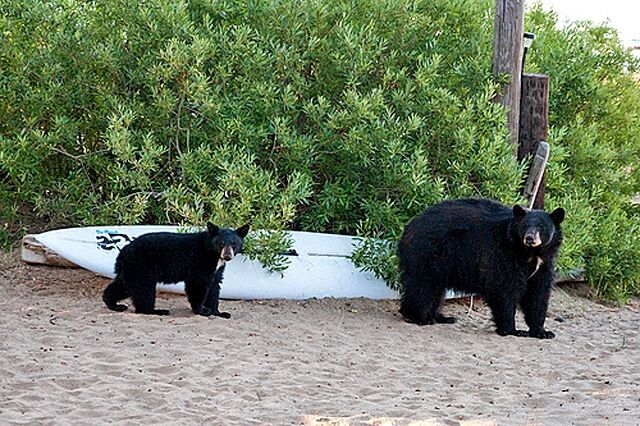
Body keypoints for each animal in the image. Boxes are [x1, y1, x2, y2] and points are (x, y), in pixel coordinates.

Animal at [101, 223, 249, 316]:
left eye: (234, 244)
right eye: (221, 243)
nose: (227, 256)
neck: (212, 253)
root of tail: (123, 252)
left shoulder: (217, 268)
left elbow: (215, 286)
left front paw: (219, 312)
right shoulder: (199, 262)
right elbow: (198, 284)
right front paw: (201, 310)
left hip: (131, 269)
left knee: (124, 285)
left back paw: (114, 304)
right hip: (142, 265)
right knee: (143, 288)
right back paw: (156, 311)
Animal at [400, 198, 564, 338]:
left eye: (542, 226)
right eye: (525, 226)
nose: (530, 238)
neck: (530, 253)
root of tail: (409, 226)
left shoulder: (544, 264)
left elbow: (538, 294)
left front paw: (542, 331)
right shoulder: (503, 254)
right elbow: (504, 288)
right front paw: (513, 330)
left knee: (435, 289)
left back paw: (441, 317)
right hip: (430, 252)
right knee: (424, 285)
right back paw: (419, 317)